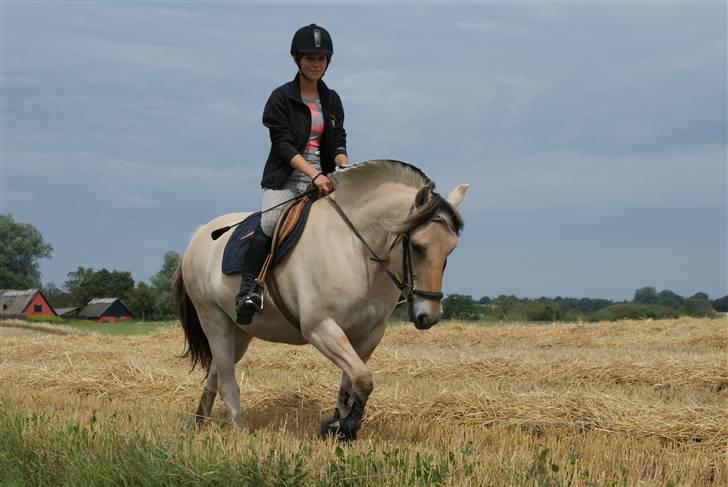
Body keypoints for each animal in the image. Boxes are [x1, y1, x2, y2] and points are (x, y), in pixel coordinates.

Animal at [174, 161, 470, 442]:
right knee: (227, 379)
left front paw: (339, 425)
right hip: (214, 320)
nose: (429, 316)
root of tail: (199, 235)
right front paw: (345, 426)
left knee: (216, 372)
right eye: (418, 246)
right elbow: (363, 379)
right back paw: (240, 432)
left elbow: (351, 384)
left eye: (450, 250)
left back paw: (200, 422)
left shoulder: (368, 334)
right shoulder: (320, 328)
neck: (356, 248)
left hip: (240, 330)